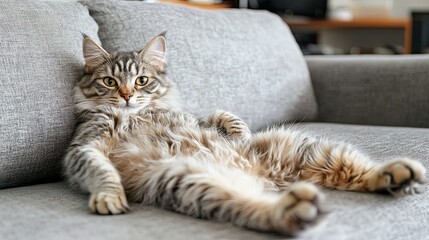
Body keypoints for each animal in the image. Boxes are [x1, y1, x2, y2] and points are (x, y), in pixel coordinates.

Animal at [62, 34, 424, 236]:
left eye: (141, 81)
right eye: (110, 82)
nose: (125, 96)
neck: (135, 114)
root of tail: (268, 177)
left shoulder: (193, 115)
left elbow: (225, 116)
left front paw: (239, 135)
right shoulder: (83, 148)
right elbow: (102, 173)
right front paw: (109, 196)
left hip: (305, 149)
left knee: (358, 170)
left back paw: (397, 173)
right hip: (187, 180)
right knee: (256, 207)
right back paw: (293, 210)